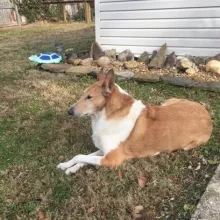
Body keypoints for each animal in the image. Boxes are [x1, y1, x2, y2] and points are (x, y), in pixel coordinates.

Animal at [57, 68, 213, 174]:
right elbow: (83, 157)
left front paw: (70, 166)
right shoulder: (104, 150)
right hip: (168, 102)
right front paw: (68, 166)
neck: (106, 115)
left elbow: (80, 156)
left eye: (89, 97)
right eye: (83, 94)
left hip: (187, 146)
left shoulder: (112, 159)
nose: (69, 111)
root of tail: (208, 116)